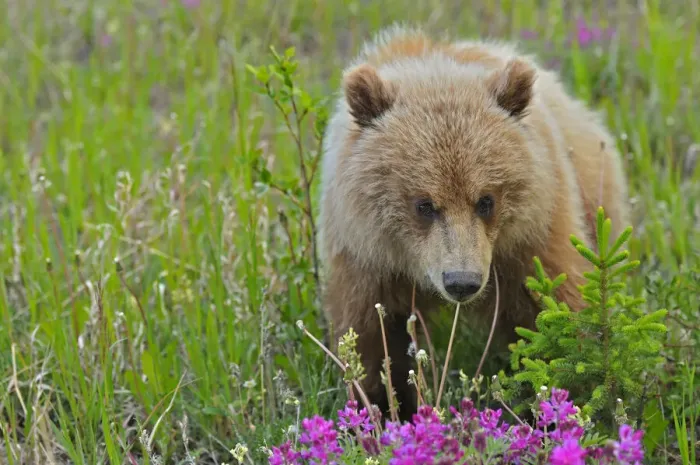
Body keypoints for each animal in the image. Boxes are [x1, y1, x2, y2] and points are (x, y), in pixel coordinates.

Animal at [316, 24, 630, 423]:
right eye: (424, 204)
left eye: (486, 200)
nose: (461, 282)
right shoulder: (366, 258)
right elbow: (371, 338)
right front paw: (384, 406)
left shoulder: (533, 237)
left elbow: (556, 308)